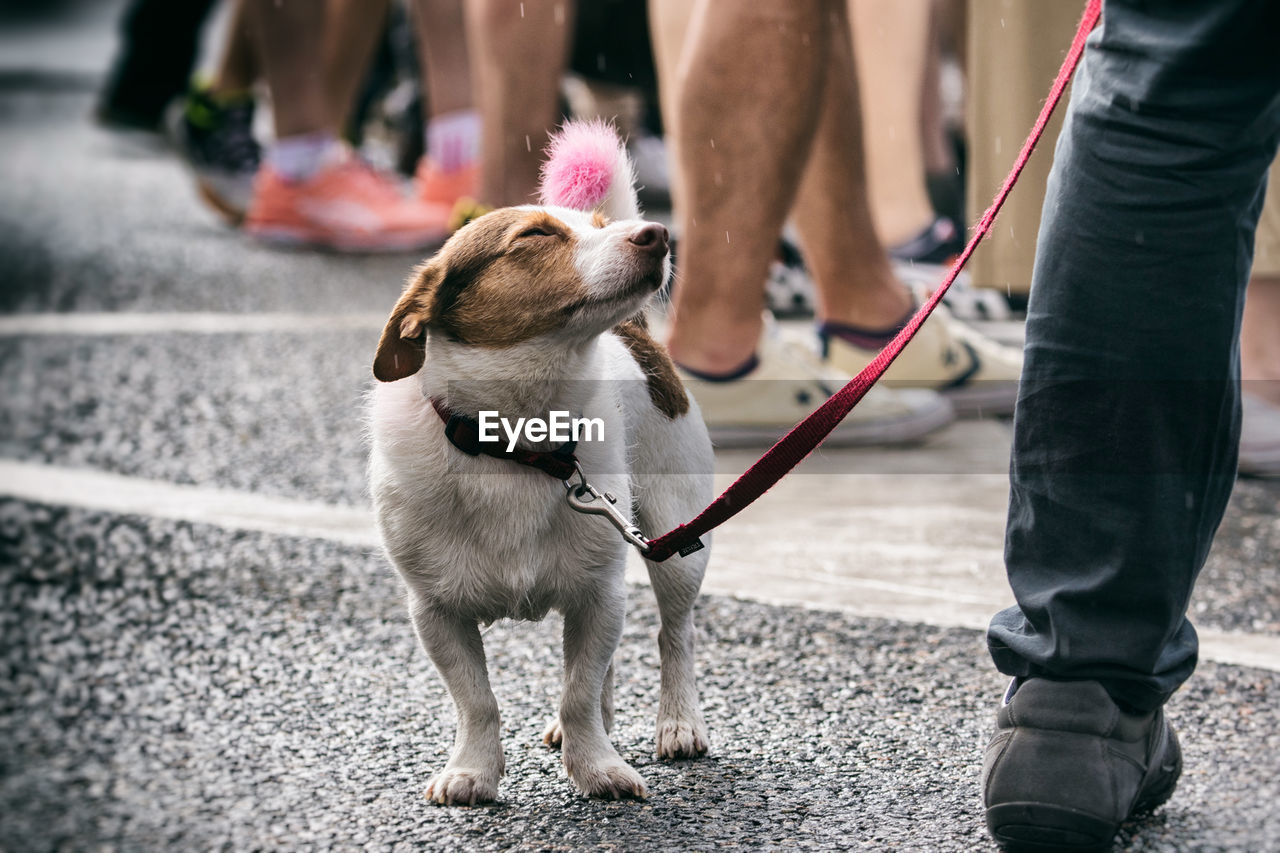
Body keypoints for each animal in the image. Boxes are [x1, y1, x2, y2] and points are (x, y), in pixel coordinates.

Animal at [371, 121, 716, 804]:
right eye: (534, 237)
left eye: (602, 224)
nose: (658, 234)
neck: (519, 443)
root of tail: (637, 331)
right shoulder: (436, 613)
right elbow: (477, 700)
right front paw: (473, 772)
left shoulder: (598, 595)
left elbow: (577, 691)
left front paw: (597, 767)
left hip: (675, 542)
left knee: (675, 635)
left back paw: (679, 722)